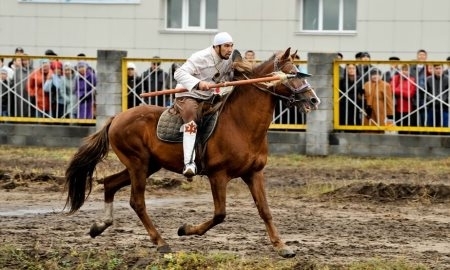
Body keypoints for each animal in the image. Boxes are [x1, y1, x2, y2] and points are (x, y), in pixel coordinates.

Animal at [65, 47, 322, 258]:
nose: (313, 99)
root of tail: (117, 117)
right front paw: (185, 229)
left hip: (147, 165)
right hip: (138, 164)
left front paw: (282, 246)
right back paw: (160, 242)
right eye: (292, 73)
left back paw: (99, 226)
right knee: (137, 202)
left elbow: (265, 210)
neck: (240, 123)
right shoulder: (218, 175)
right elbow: (220, 214)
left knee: (110, 184)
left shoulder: (254, 174)